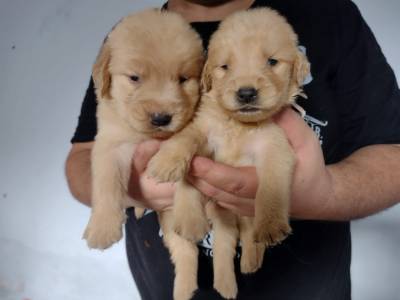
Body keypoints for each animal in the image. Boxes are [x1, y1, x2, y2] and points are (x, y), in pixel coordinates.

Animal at [82, 8, 205, 300]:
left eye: (183, 78)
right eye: (135, 78)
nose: (161, 118)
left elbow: (186, 173)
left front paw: (191, 215)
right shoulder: (109, 145)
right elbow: (106, 183)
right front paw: (102, 227)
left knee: (186, 251)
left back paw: (184, 286)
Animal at [147, 8, 310, 298]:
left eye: (272, 61)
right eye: (225, 67)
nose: (246, 93)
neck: (238, 125)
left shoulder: (275, 146)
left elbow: (270, 188)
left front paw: (271, 224)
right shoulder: (204, 135)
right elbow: (186, 145)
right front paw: (167, 162)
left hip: (234, 218)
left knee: (236, 242)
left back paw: (244, 268)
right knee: (195, 251)